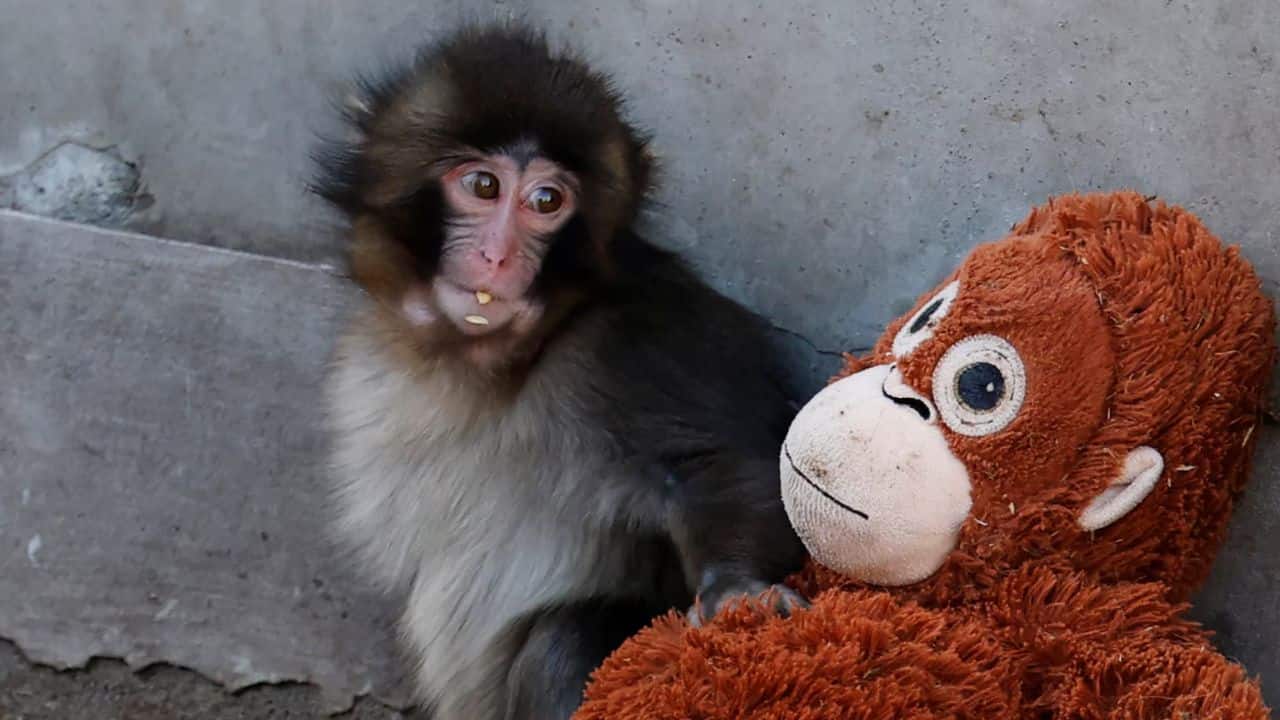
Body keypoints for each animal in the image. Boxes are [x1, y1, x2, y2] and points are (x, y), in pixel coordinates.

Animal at [311, 25, 807, 720]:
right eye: (483, 187)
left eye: (547, 201)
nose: (498, 256)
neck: (495, 363)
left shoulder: (641, 341)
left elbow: (724, 465)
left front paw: (737, 590)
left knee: (565, 639)